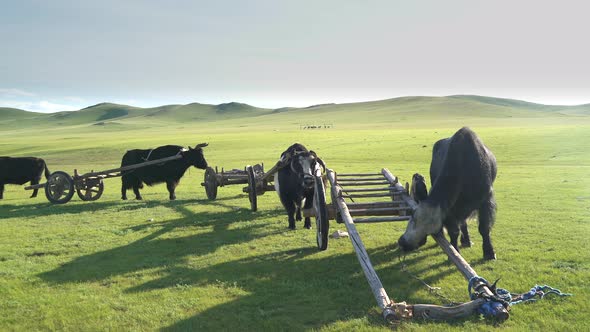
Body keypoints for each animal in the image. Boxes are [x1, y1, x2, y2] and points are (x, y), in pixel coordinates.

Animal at [398, 126, 500, 260]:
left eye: (413, 215)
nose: (402, 242)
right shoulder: (451, 208)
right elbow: (454, 231)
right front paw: (455, 251)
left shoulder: (486, 201)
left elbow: (484, 228)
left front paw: (489, 252)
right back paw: (466, 241)